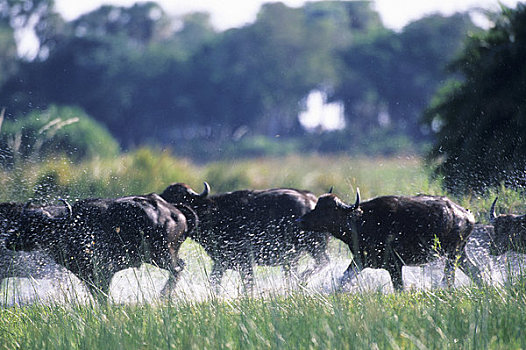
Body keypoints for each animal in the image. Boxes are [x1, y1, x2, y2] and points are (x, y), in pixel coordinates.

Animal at [4, 193, 198, 296]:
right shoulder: (88, 276)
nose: (9, 240)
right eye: (23, 221)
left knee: (178, 268)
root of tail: (174, 211)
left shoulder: (102, 273)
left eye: (37, 225)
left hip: (162, 255)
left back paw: (163, 295)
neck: (72, 227)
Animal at [161, 183, 330, 290]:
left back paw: (302, 277)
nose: (165, 209)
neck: (216, 214)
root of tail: (311, 200)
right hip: (293, 258)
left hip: (314, 247)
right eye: (165, 194)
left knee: (323, 261)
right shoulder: (220, 263)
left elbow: (248, 285)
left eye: (179, 196)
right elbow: (214, 283)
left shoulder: (245, 263)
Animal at [300, 190, 484, 292]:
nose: (301, 220)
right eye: (316, 205)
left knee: (449, 277)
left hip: (452, 254)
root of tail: (467, 215)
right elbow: (343, 280)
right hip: (460, 254)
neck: (363, 223)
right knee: (476, 270)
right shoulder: (359, 261)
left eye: (327, 210)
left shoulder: (395, 265)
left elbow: (399, 289)